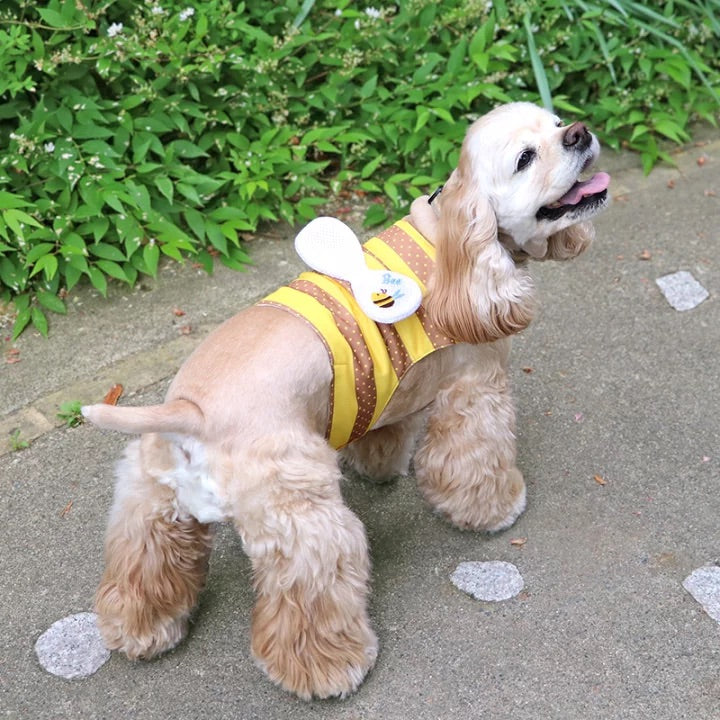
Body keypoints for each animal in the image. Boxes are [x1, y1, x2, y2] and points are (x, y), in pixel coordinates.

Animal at [83, 101, 612, 696]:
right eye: (525, 158)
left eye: (556, 122)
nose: (580, 133)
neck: (456, 239)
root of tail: (188, 412)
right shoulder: (475, 390)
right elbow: (472, 460)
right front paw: (495, 508)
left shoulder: (388, 386)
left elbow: (384, 427)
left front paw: (378, 465)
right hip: (305, 521)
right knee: (311, 596)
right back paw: (331, 667)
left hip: (150, 503)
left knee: (143, 562)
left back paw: (138, 630)